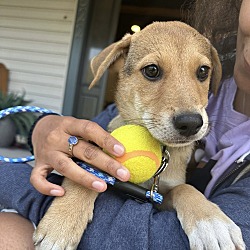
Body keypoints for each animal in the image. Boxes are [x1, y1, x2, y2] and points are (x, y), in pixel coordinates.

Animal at [32, 22, 244, 250]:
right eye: (151, 70)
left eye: (203, 71)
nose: (191, 123)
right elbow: (85, 177)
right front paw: (59, 225)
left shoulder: (158, 197)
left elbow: (185, 188)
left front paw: (212, 223)